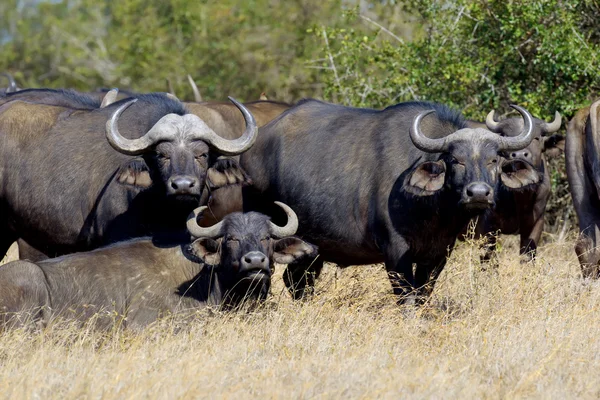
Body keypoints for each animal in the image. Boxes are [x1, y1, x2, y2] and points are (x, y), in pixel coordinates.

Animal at [239, 100, 536, 304]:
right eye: (455, 160)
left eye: (493, 159)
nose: (478, 193)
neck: (431, 210)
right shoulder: (395, 251)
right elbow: (407, 296)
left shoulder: (439, 252)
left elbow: (424, 292)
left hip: (312, 250)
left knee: (297, 281)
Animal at [464, 110, 564, 260]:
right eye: (506, 137)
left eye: (536, 138)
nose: (519, 154)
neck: (521, 198)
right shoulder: (487, 227)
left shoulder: (536, 223)